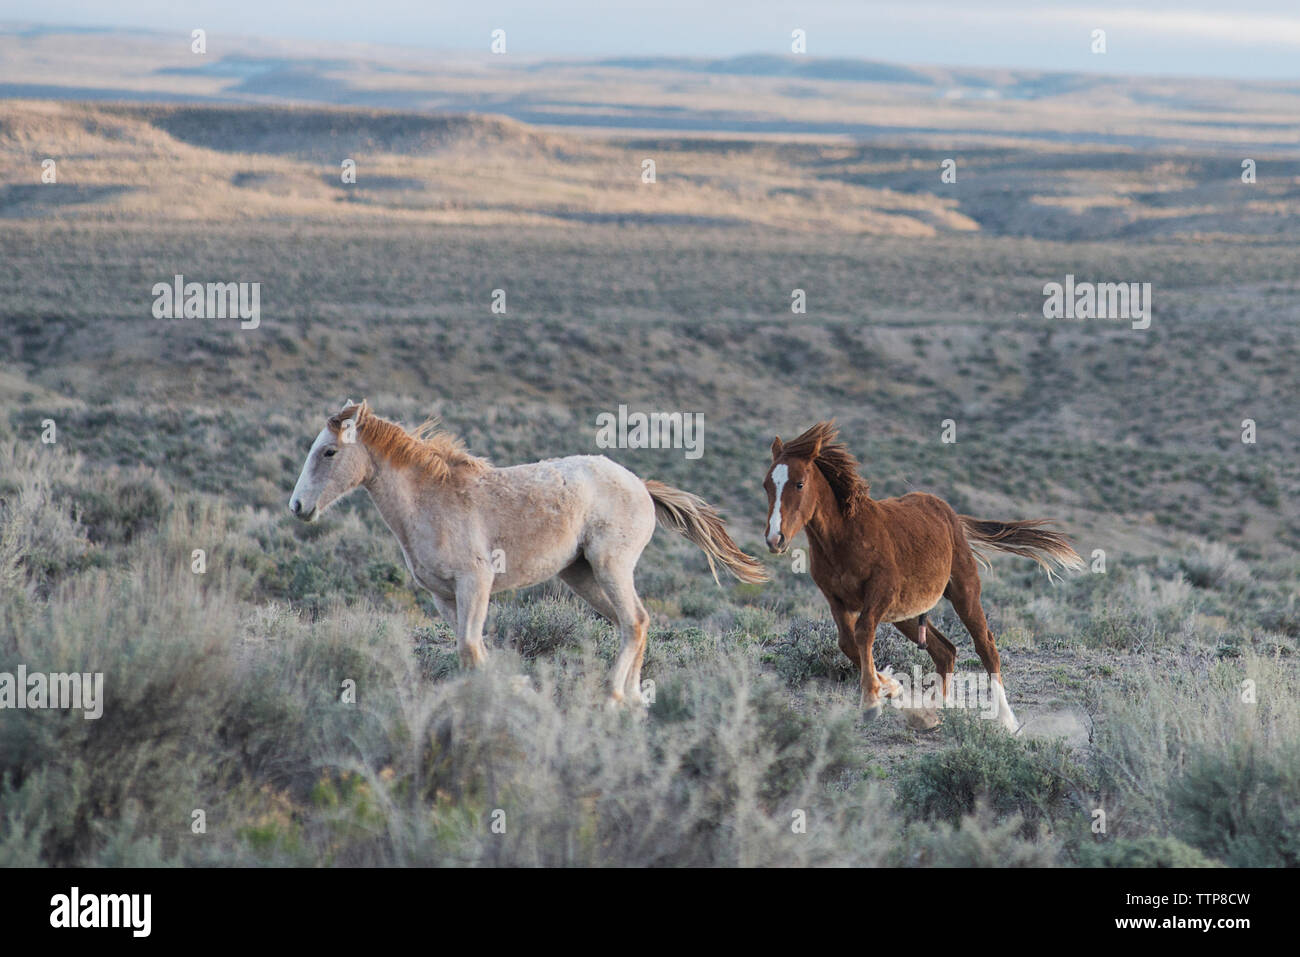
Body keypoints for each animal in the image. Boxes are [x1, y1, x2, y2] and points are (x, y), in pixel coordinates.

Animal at [289, 400, 767, 705]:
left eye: (329, 451)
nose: (298, 506)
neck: (431, 499)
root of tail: (641, 486)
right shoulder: (443, 596)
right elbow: (470, 650)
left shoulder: (475, 583)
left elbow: (470, 648)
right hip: (582, 575)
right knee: (633, 623)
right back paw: (634, 697)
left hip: (610, 566)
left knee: (634, 621)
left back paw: (615, 695)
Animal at [762, 421, 1082, 731]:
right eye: (767, 485)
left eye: (799, 483)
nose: (775, 539)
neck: (846, 536)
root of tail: (952, 515)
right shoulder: (837, 600)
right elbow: (847, 643)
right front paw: (890, 688)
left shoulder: (880, 593)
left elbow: (863, 634)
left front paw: (872, 702)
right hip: (906, 612)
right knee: (945, 652)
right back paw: (931, 713)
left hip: (964, 592)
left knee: (986, 647)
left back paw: (1006, 720)